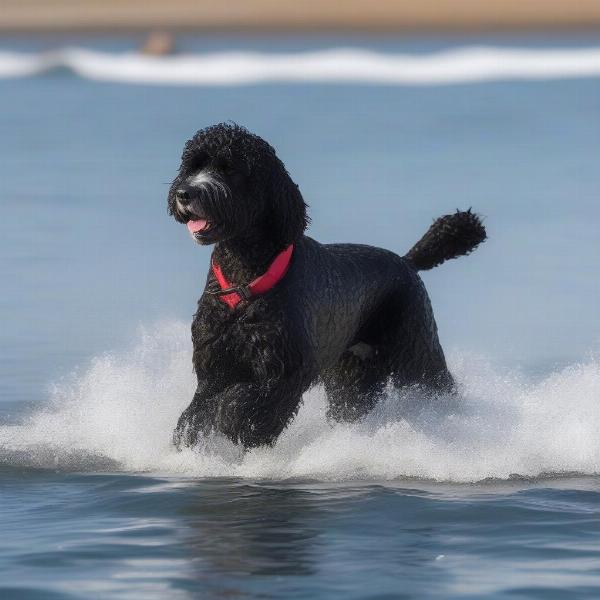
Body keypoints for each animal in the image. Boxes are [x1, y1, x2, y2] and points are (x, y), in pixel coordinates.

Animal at [166, 123, 486, 450]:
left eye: (230, 168)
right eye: (193, 166)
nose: (185, 193)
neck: (245, 277)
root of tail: (407, 262)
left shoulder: (285, 371)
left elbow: (242, 404)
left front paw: (232, 426)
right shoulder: (214, 370)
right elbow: (196, 414)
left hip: (416, 353)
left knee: (437, 385)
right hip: (352, 377)